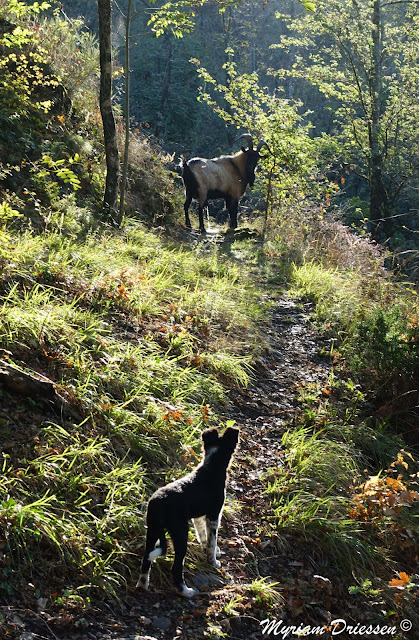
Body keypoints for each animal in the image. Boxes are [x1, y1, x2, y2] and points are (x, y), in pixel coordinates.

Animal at [138, 428, 240, 596]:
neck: (212, 466)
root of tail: (158, 503)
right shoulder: (214, 516)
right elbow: (212, 541)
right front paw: (213, 562)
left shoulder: (198, 517)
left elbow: (203, 536)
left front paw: (207, 549)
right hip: (180, 532)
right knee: (176, 567)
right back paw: (186, 591)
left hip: (152, 530)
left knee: (146, 559)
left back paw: (142, 586)